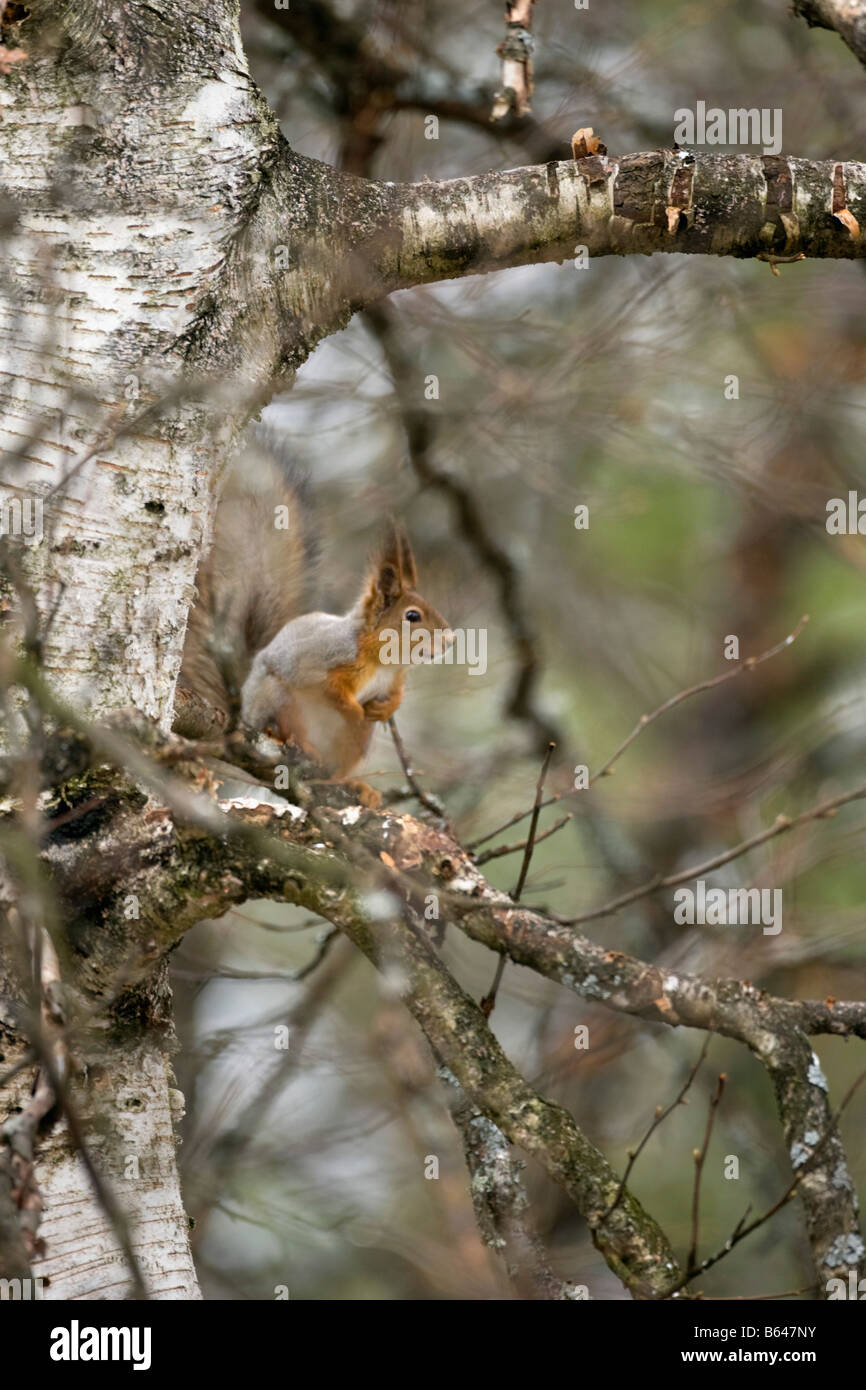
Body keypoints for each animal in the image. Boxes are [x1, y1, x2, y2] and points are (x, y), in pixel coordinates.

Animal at [175, 430, 450, 784]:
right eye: (412, 616)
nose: (450, 640)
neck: (385, 663)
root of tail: (243, 713)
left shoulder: (393, 680)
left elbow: (390, 699)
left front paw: (387, 708)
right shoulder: (324, 658)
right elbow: (325, 686)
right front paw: (353, 707)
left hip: (356, 742)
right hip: (277, 700)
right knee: (283, 725)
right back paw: (295, 742)